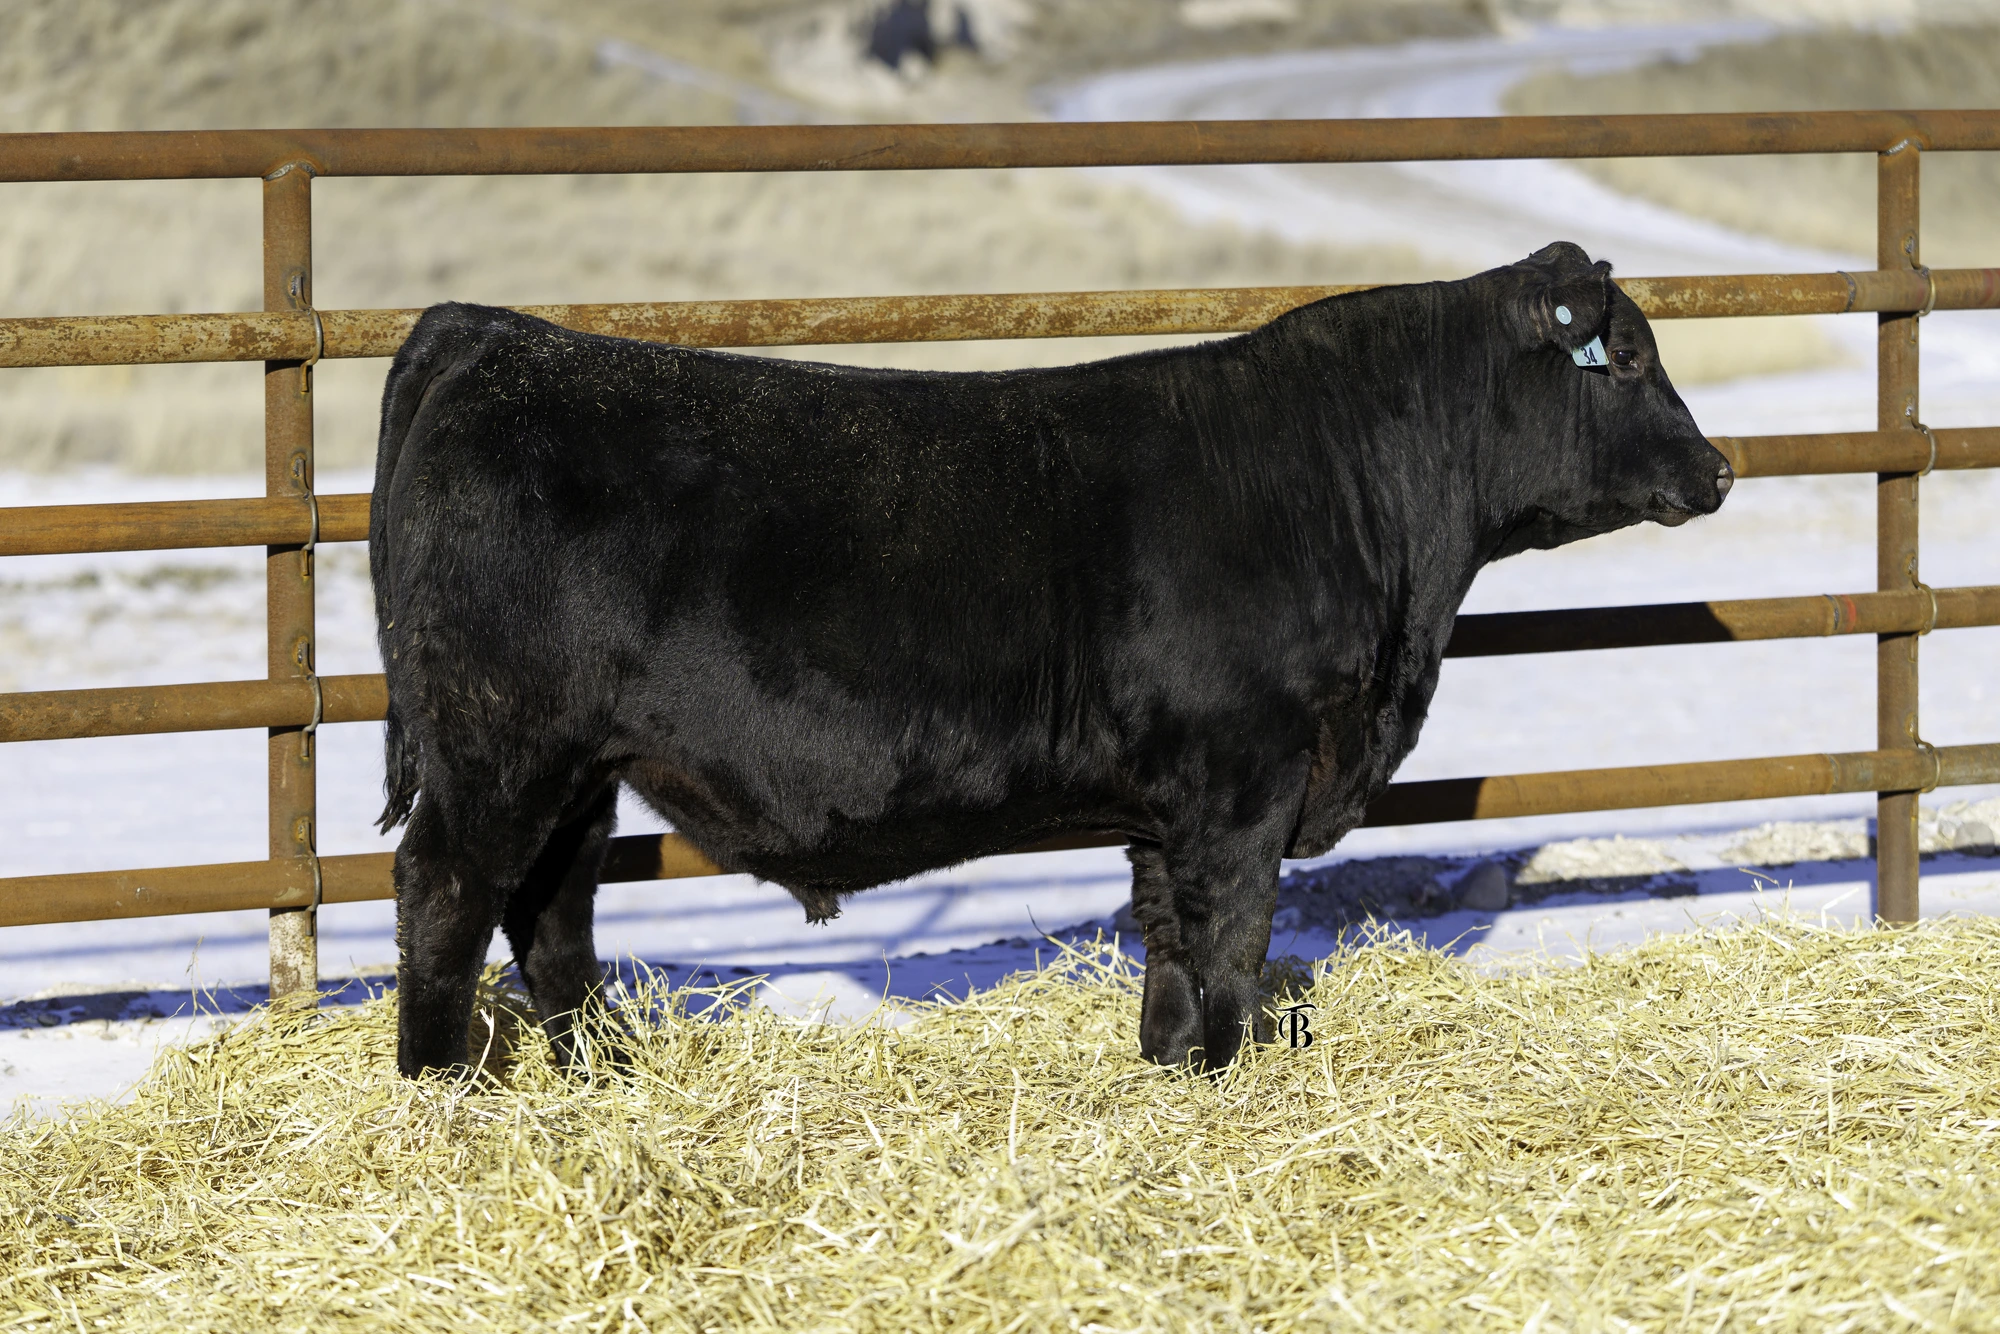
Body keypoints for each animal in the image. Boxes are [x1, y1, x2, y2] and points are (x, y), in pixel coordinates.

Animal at [369, 241, 1730, 1078]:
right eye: (1630, 359)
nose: (1718, 469)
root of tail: (493, 337)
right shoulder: (1243, 775)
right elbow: (1230, 938)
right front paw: (1228, 1070)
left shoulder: (1173, 797)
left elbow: (1172, 940)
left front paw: (1172, 1069)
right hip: (497, 745)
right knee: (446, 891)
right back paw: (446, 1093)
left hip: (578, 768)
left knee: (553, 912)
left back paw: (602, 1074)